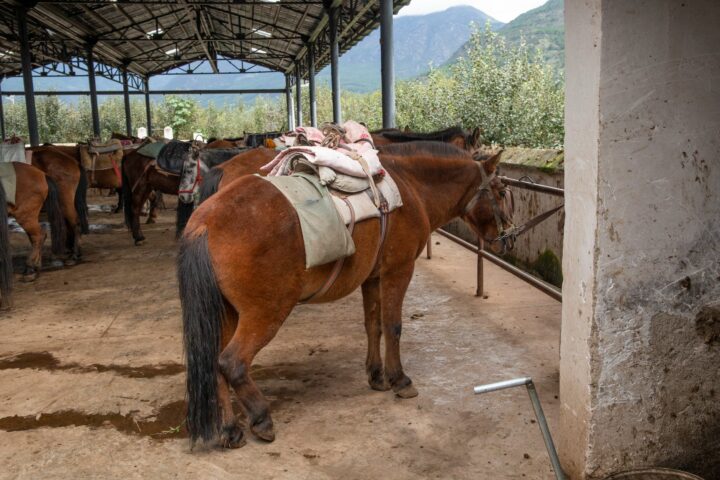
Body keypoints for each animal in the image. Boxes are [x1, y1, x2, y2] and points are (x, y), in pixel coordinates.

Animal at [0, 162, 66, 307]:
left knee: (38, 236)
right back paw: (35, 267)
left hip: (26, 215)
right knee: (36, 237)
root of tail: (42, 174)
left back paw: (30, 269)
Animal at [177, 142, 512, 448]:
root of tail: (204, 222)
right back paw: (261, 418)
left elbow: (373, 325)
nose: (508, 238)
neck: (411, 187)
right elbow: (393, 326)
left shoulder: (372, 278)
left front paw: (376, 375)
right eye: (501, 191)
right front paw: (399, 379)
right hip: (266, 312)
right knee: (231, 362)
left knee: (213, 362)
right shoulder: (398, 272)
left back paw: (230, 430)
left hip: (226, 311)